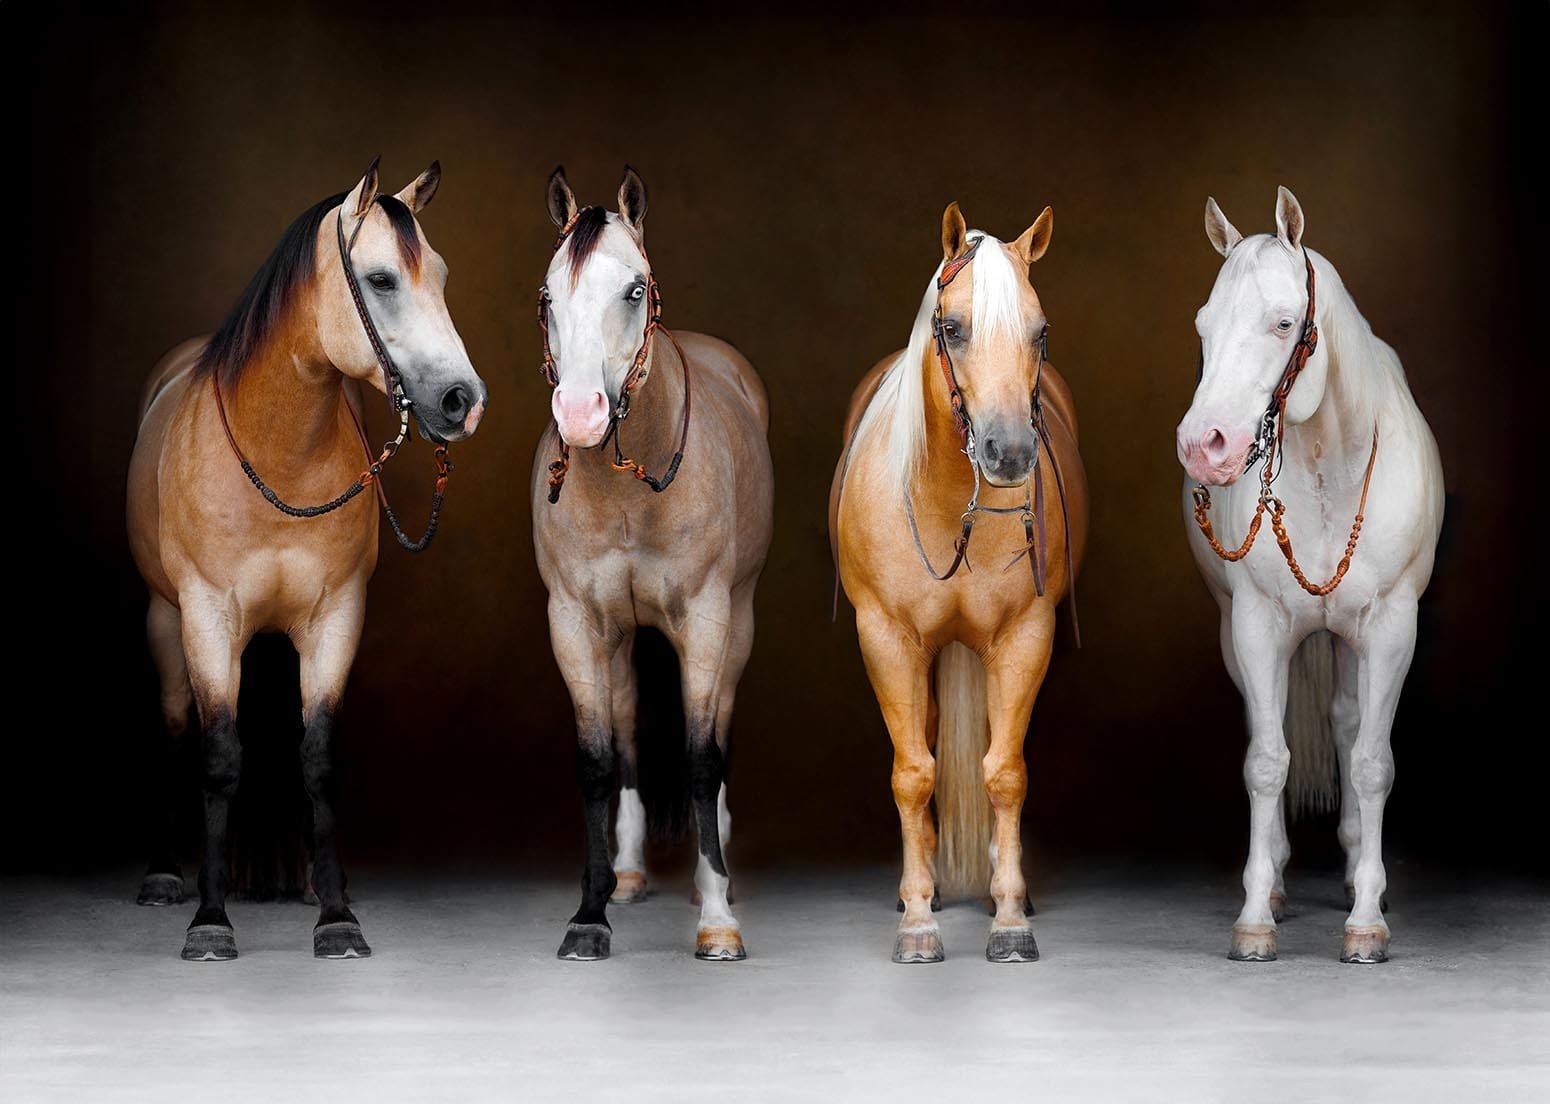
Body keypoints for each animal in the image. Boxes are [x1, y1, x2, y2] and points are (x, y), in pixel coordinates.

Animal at [126, 158, 489, 960]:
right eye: (381, 279)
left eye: (446, 275)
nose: (462, 401)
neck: (279, 450)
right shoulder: (206, 618)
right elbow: (218, 757)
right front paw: (210, 920)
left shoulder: (334, 619)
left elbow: (318, 758)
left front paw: (336, 916)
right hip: (166, 622)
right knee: (174, 729)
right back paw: (166, 876)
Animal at [530, 166, 773, 962]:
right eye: (549, 296)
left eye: (634, 290)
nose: (580, 413)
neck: (629, 490)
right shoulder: (576, 623)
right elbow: (598, 760)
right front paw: (590, 912)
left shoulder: (708, 616)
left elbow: (701, 755)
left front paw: (718, 918)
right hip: (620, 639)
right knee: (631, 726)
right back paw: (631, 875)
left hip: (737, 623)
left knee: (719, 725)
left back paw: (712, 868)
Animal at [831, 201, 1087, 963]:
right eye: (951, 327)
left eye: (1040, 330)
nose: (1010, 453)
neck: (949, 500)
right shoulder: (886, 639)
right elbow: (914, 773)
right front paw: (918, 921)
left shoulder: (1025, 637)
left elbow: (1005, 772)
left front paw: (1010, 919)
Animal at [1176, 186, 1444, 963]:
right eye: (1204, 326)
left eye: (1283, 322)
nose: (1204, 447)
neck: (1331, 464)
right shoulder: (1256, 626)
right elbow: (1267, 762)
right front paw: (1254, 918)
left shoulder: (1391, 629)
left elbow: (1372, 762)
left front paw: (1366, 920)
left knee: (1351, 726)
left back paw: (1358, 870)